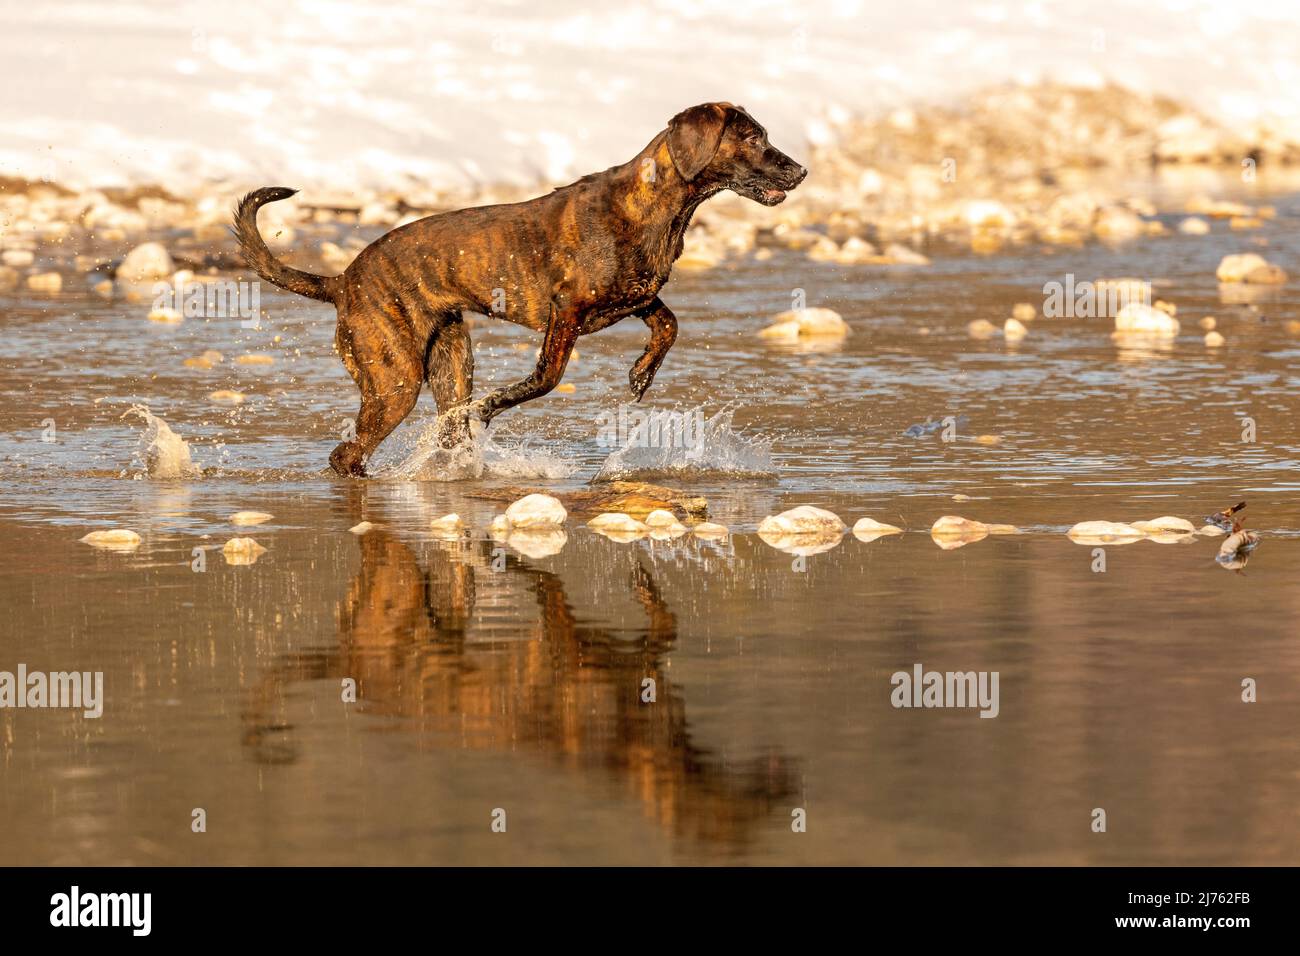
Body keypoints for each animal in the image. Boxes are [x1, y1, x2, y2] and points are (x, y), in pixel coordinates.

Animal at [232, 102, 800, 476]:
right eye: (753, 139)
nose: (801, 169)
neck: (658, 205)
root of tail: (342, 281)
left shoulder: (636, 298)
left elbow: (669, 323)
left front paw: (642, 373)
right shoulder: (565, 313)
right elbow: (545, 379)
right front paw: (492, 407)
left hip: (451, 362)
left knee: (443, 425)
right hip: (395, 381)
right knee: (346, 453)